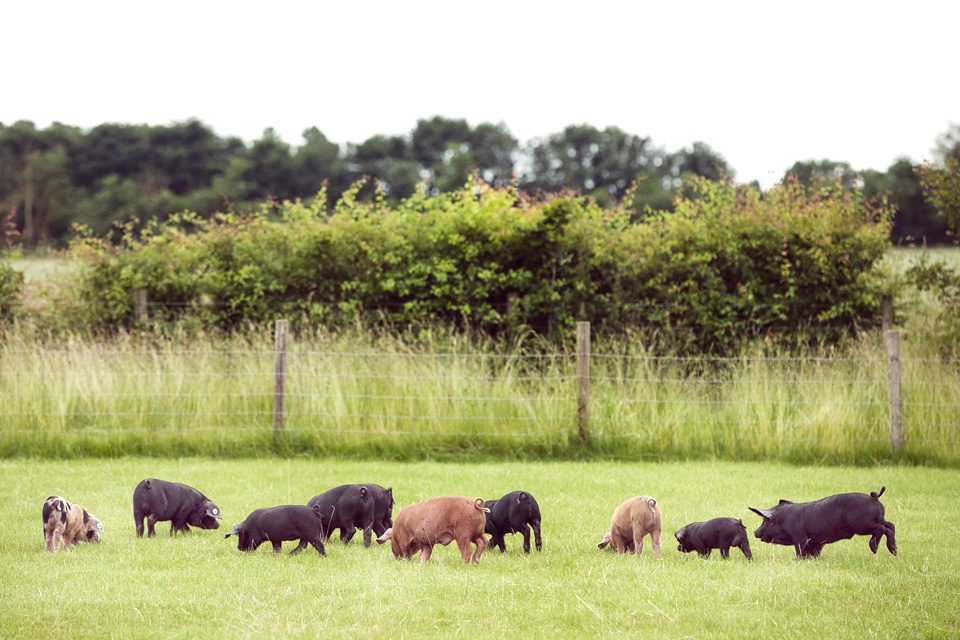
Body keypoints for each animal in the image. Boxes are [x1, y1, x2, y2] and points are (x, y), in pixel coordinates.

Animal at [752, 488, 900, 556]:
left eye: (765, 521)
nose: (754, 531)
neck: (784, 519)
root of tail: (874, 498)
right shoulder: (816, 541)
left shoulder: (799, 536)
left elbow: (800, 551)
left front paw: (797, 560)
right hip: (877, 519)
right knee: (890, 526)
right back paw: (894, 551)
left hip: (862, 525)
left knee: (882, 528)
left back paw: (874, 548)